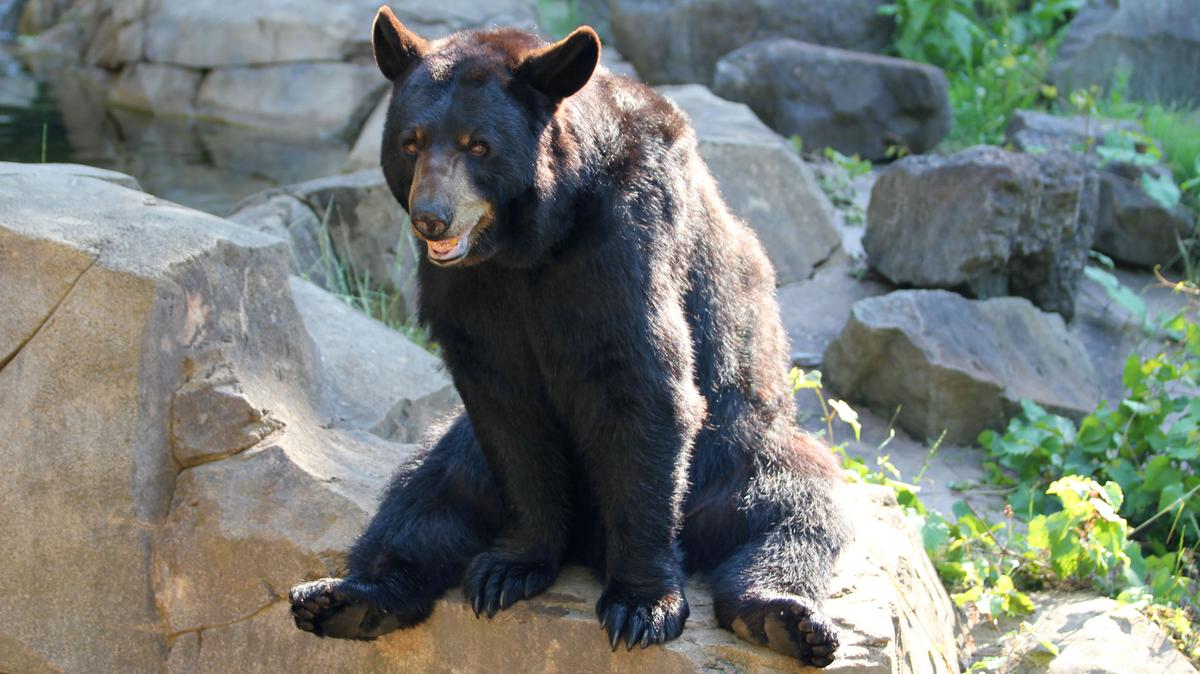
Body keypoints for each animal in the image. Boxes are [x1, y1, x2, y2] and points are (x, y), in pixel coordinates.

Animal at [289, 6, 850, 667]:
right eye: (411, 141)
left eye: (478, 144)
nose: (432, 218)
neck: (530, 243)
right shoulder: (467, 291)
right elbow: (505, 408)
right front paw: (510, 567)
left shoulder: (623, 245)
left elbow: (644, 385)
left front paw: (641, 605)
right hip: (461, 450)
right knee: (426, 492)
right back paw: (346, 599)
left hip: (737, 452)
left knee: (793, 509)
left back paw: (783, 616)